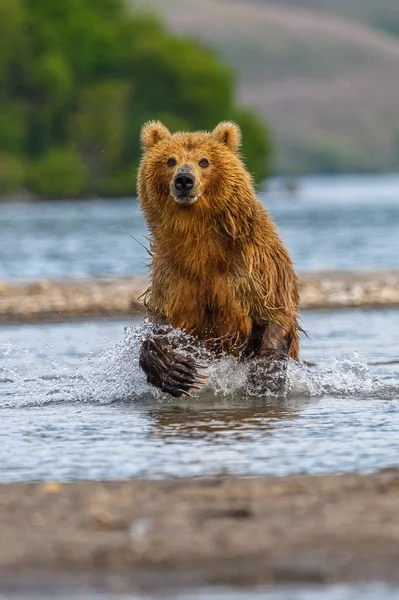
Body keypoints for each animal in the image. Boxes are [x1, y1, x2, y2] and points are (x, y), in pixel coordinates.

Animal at [138, 119, 300, 396]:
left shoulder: (254, 267)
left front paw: (264, 378)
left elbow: (276, 314)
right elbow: (161, 324)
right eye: (170, 160)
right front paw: (174, 370)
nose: (184, 180)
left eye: (204, 161)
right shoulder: (173, 278)